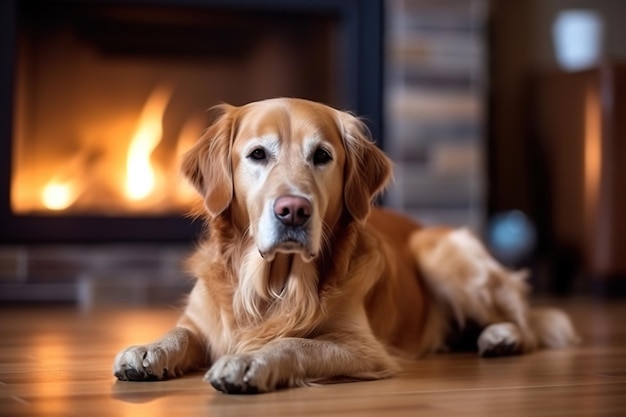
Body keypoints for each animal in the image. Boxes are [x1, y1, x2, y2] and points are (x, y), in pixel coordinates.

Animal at [113, 97, 580, 394]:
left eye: (321, 156)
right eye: (258, 154)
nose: (293, 211)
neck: (274, 287)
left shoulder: (362, 348)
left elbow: (294, 343)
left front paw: (249, 361)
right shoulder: (200, 320)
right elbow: (177, 333)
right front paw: (147, 350)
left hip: (441, 254)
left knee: (528, 324)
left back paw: (501, 337)